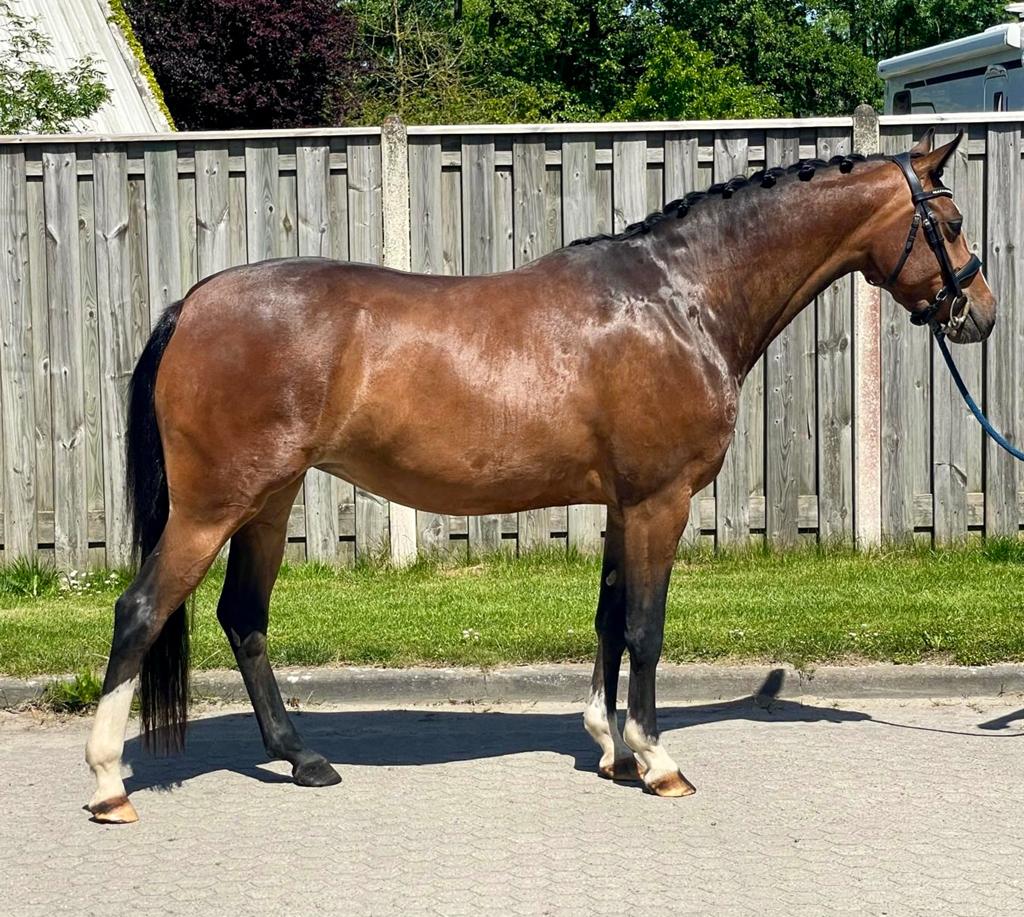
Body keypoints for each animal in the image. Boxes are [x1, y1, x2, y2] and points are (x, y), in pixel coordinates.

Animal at [84, 128, 995, 823]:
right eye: (949, 221)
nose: (980, 313)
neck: (679, 297)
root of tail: (194, 303)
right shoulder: (661, 502)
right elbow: (646, 629)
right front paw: (657, 759)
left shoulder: (625, 505)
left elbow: (608, 620)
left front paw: (610, 746)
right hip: (213, 506)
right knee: (141, 611)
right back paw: (107, 783)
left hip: (268, 503)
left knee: (244, 618)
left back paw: (302, 757)